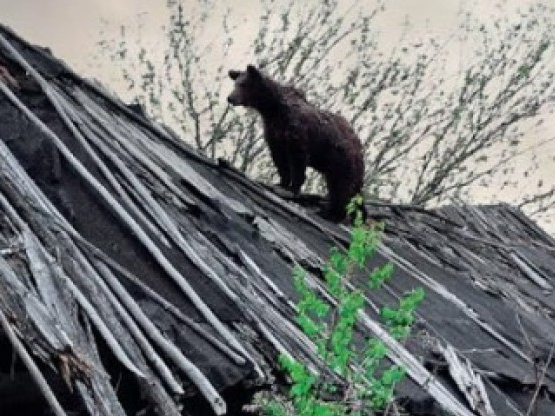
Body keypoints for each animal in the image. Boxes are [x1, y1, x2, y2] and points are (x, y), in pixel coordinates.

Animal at [226, 64, 364, 221]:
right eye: (235, 83)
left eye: (243, 84)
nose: (230, 98)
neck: (272, 109)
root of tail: (359, 147)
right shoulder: (274, 133)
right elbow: (279, 159)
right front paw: (281, 183)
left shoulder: (296, 131)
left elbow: (297, 160)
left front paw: (292, 188)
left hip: (341, 160)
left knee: (341, 187)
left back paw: (331, 213)